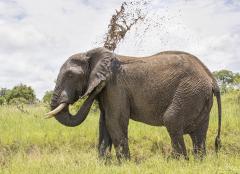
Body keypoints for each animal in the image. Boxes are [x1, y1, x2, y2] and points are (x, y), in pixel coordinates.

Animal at [45, 47, 221, 160]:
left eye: (70, 75)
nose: (92, 91)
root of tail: (212, 79)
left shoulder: (115, 86)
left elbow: (114, 121)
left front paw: (124, 164)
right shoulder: (108, 91)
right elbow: (104, 122)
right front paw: (103, 164)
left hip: (190, 92)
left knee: (172, 120)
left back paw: (180, 162)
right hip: (199, 97)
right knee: (199, 133)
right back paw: (199, 162)